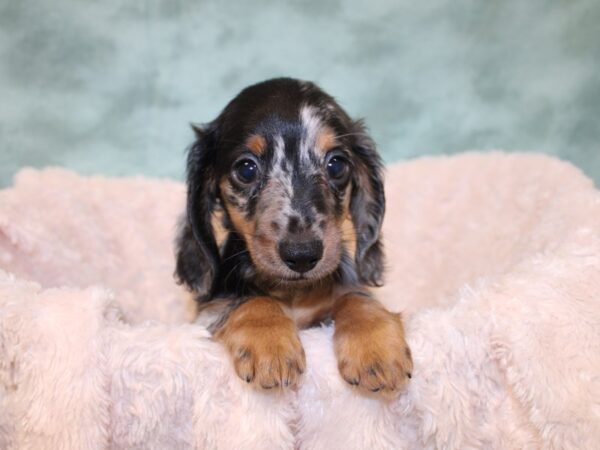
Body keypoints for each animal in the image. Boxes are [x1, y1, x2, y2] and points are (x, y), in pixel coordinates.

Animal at [176, 79, 414, 396]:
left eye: (336, 165)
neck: (293, 294)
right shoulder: (206, 314)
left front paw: (376, 347)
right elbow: (251, 301)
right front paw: (270, 343)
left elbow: (355, 296)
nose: (302, 255)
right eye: (246, 169)